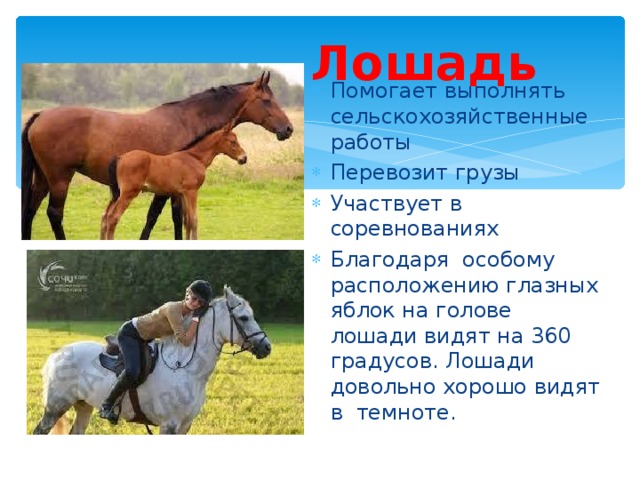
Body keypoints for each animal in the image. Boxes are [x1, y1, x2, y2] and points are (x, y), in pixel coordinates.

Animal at [32, 286, 271, 435]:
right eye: (243, 318)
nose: (267, 347)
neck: (186, 370)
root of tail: (56, 355)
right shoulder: (169, 425)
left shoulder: (185, 426)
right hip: (55, 406)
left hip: (83, 406)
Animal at [101, 124, 247, 240]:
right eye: (233, 141)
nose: (244, 158)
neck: (195, 158)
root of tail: (120, 157)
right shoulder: (191, 191)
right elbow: (194, 220)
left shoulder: (182, 194)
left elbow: (187, 221)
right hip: (128, 193)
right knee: (113, 217)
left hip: (116, 194)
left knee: (105, 217)